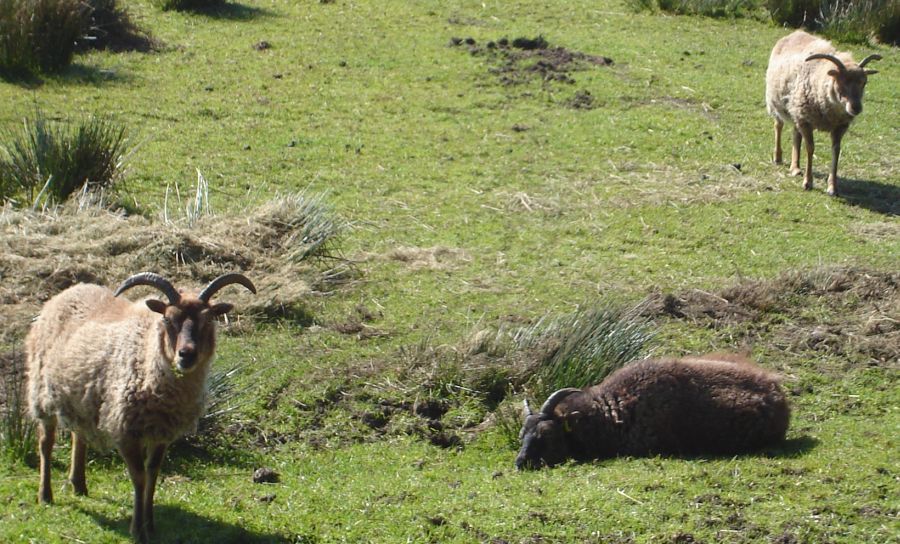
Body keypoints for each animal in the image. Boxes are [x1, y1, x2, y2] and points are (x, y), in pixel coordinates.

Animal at [764, 29, 884, 196]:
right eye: (840, 82)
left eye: (864, 82)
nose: (856, 108)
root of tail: (795, 32)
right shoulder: (806, 120)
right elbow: (810, 148)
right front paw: (808, 182)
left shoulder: (839, 126)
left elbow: (836, 151)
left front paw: (832, 187)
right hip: (777, 103)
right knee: (778, 126)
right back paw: (778, 157)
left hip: (796, 108)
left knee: (796, 135)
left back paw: (795, 168)